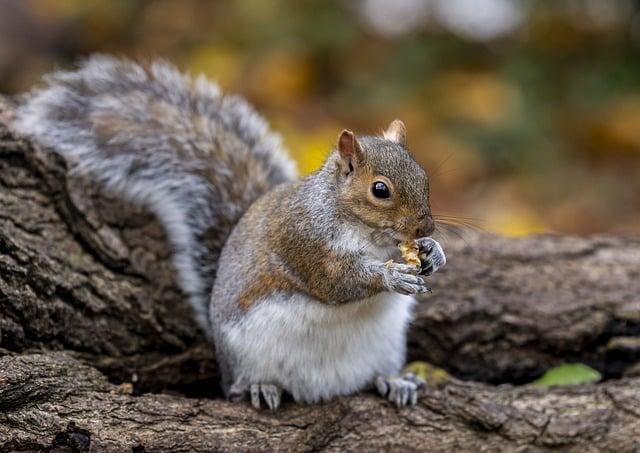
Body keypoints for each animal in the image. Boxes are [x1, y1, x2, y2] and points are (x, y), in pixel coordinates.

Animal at [13, 54, 444, 408]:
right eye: (380, 190)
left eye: (423, 175)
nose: (426, 225)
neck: (368, 234)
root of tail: (324, 388)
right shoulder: (303, 239)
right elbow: (336, 280)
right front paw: (391, 275)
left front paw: (432, 251)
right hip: (246, 354)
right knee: (237, 386)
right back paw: (257, 387)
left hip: (386, 345)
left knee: (374, 375)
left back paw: (393, 381)